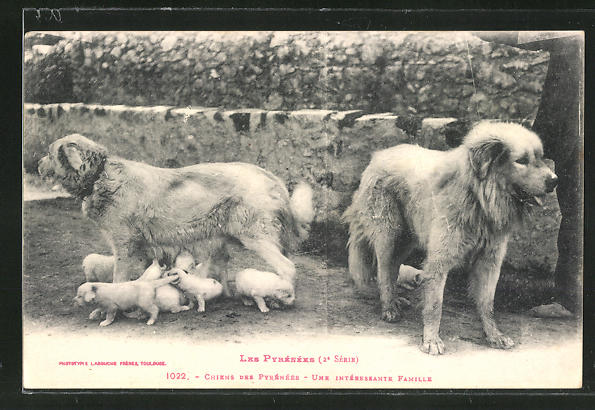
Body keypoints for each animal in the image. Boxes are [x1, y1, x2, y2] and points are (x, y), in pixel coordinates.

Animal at [37, 135, 314, 294]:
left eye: (49, 154)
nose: (38, 164)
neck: (99, 175)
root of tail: (271, 177)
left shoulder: (124, 245)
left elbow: (119, 278)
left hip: (256, 237)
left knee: (288, 267)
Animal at [344, 120, 560, 354]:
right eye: (521, 161)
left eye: (540, 157)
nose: (555, 181)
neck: (478, 197)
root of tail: (379, 155)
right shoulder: (440, 259)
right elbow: (435, 305)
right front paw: (431, 340)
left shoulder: (489, 261)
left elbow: (487, 303)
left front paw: (494, 335)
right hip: (389, 234)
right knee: (383, 271)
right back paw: (389, 307)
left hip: (406, 239)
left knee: (393, 268)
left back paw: (395, 300)